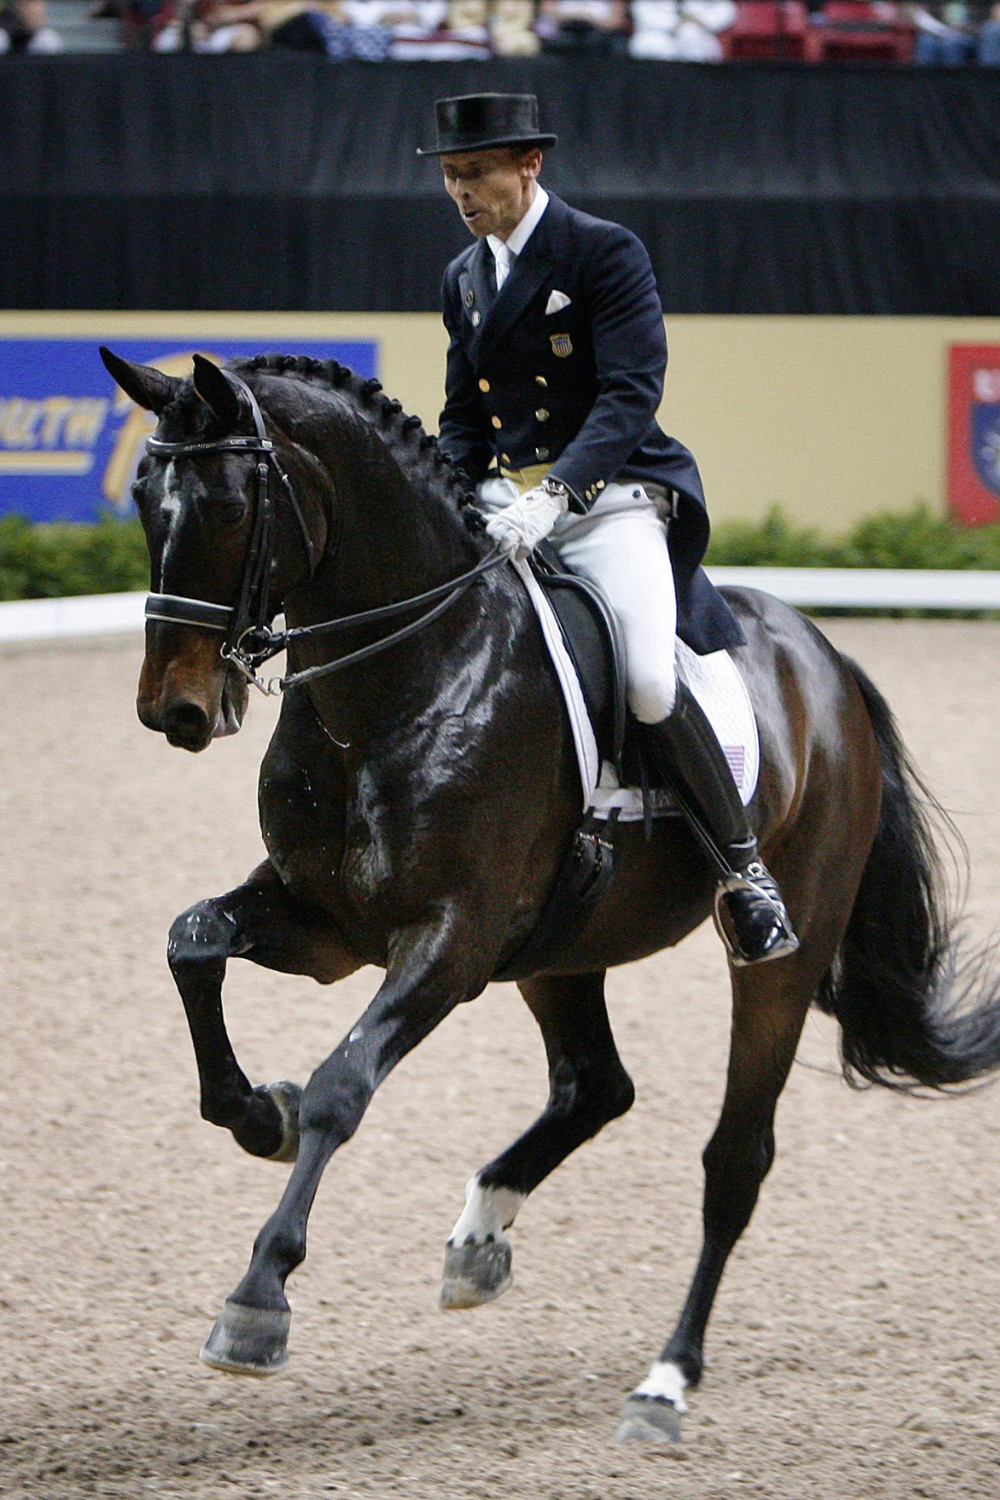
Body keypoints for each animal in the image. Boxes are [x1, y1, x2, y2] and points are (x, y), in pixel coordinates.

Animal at [99, 348, 1000, 1440]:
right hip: (559, 950)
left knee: (733, 1162)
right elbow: (192, 941)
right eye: (143, 499)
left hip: (781, 956)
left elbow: (342, 1086)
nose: (176, 711)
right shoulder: (328, 927)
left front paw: (257, 1300)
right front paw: (257, 1115)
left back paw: (664, 1382)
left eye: (231, 506)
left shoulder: (448, 941)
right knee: (596, 1085)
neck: (404, 676)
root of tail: (823, 657)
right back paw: (480, 1236)